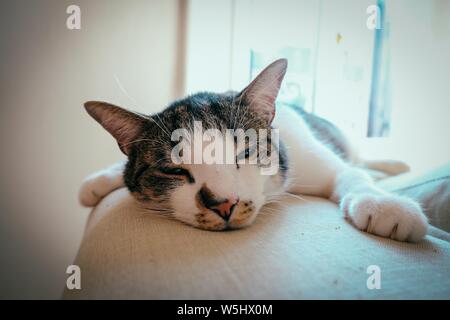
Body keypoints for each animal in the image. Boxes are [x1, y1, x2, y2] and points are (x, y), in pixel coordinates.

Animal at [81, 58, 428, 242]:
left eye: (245, 153)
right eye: (173, 170)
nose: (223, 204)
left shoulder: (313, 156)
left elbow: (349, 175)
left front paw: (385, 204)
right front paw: (98, 181)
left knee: (360, 161)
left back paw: (391, 168)